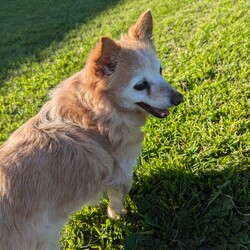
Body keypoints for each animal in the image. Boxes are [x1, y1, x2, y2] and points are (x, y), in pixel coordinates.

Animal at [0, 10, 184, 250]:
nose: (179, 98)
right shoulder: (121, 174)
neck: (93, 113)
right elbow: (117, 201)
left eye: (160, 71)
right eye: (140, 86)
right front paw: (119, 216)